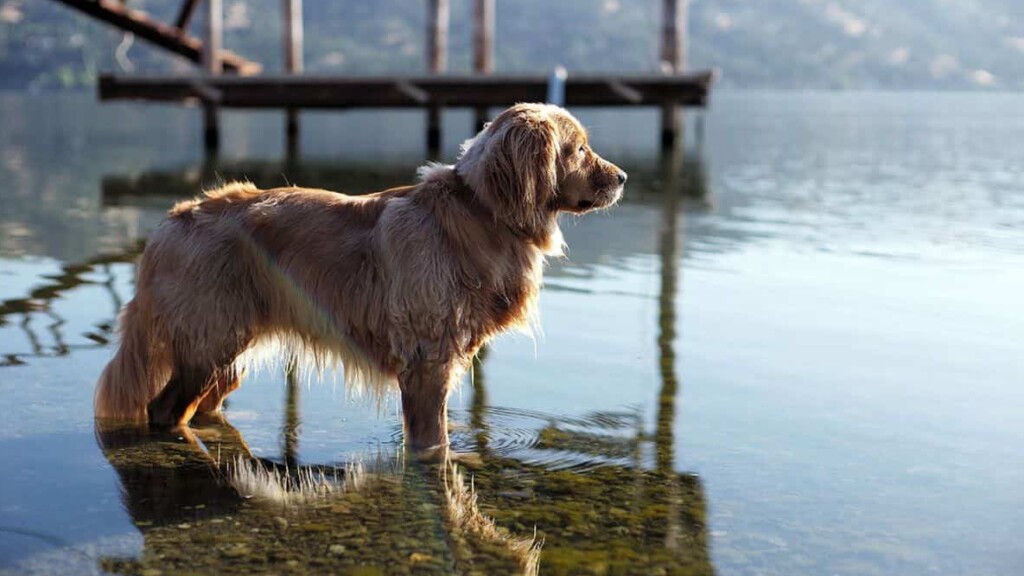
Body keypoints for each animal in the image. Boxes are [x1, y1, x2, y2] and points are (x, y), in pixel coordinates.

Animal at [94, 101, 622, 448]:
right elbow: (432, 444)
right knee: (163, 409)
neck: (481, 213)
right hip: (209, 342)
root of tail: (171, 220)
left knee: (201, 406)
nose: (622, 178)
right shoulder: (428, 362)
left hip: (227, 351)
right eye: (578, 149)